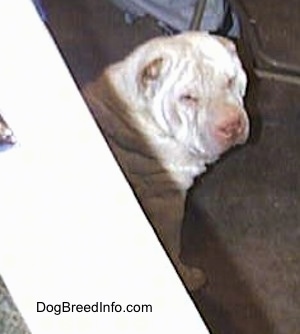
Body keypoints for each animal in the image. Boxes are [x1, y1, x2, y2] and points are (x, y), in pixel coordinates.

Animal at [83, 32, 250, 290]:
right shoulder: (167, 205)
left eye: (230, 81)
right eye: (188, 98)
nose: (232, 125)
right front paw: (189, 278)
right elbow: (172, 248)